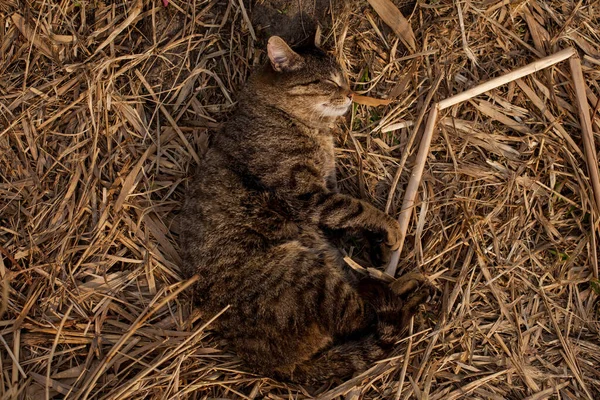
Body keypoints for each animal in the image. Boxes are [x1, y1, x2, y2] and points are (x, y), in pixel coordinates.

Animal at [180, 36, 434, 384]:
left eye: (344, 78)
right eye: (328, 81)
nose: (351, 93)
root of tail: (277, 368)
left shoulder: (327, 189)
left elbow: (351, 219)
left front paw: (379, 246)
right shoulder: (306, 194)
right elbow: (357, 208)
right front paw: (389, 228)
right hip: (307, 276)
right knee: (365, 314)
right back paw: (409, 288)